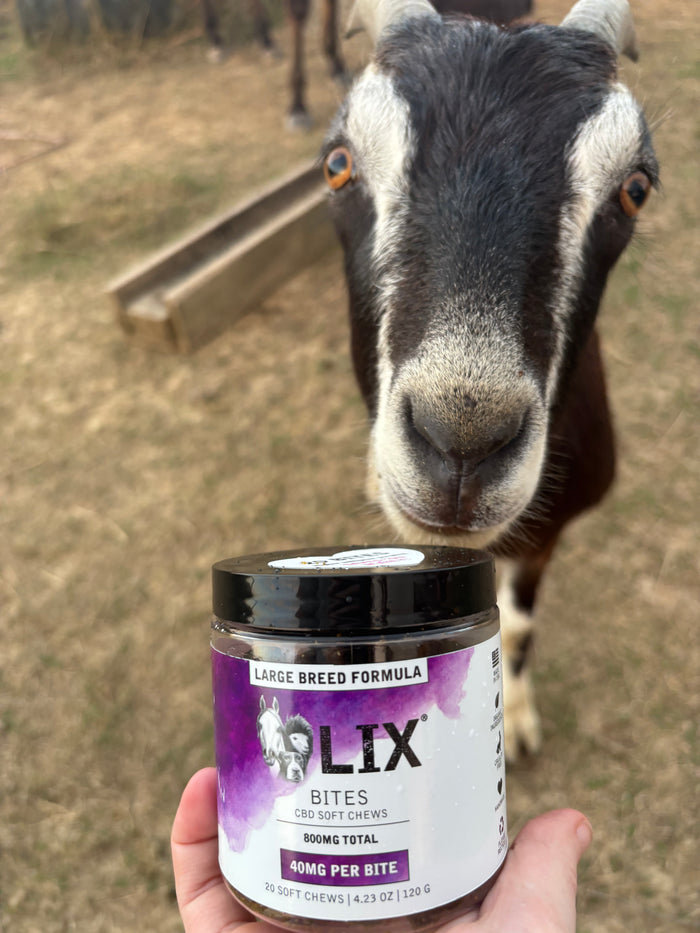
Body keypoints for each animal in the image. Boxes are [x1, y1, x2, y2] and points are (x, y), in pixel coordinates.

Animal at [322, 0, 657, 760]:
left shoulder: (549, 529)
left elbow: (521, 621)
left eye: (636, 188)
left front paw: (518, 722)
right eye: (337, 165)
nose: (462, 446)